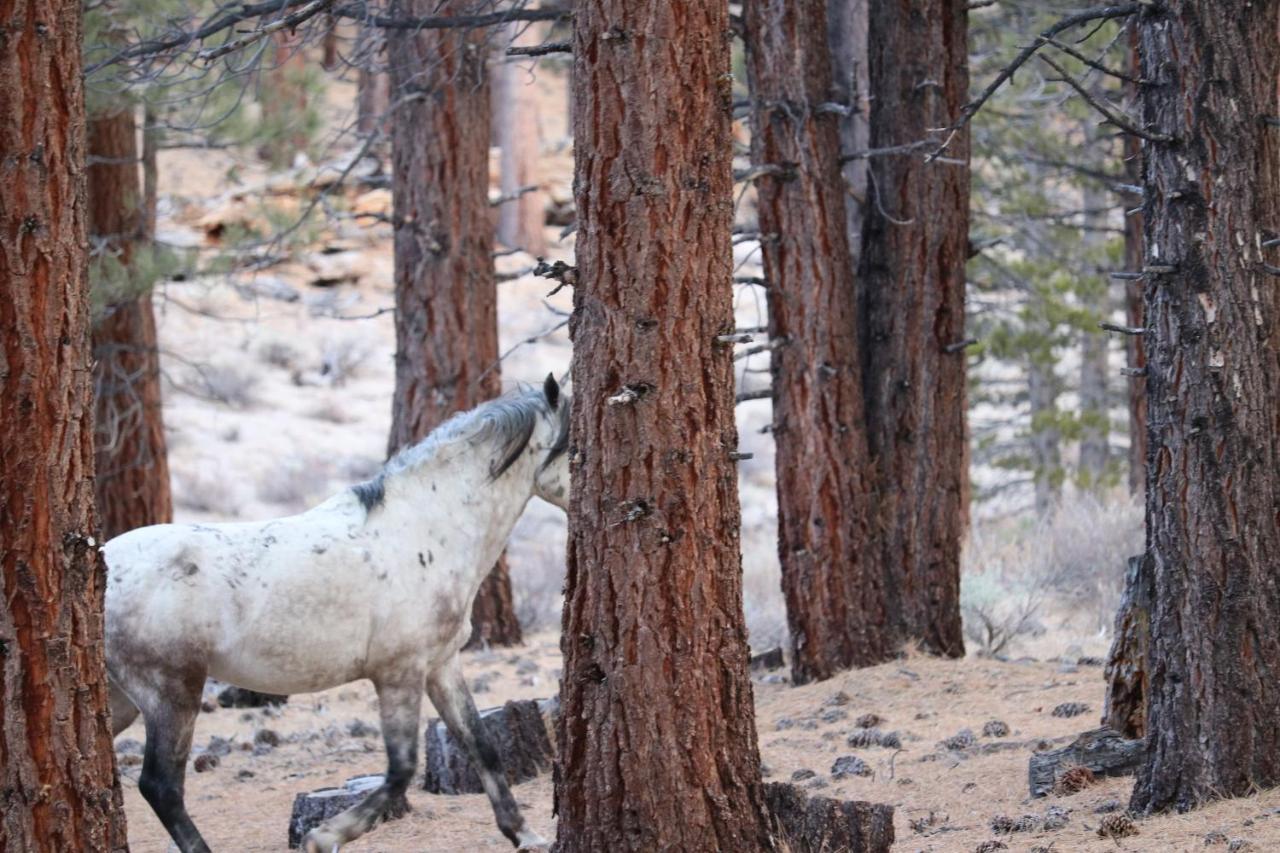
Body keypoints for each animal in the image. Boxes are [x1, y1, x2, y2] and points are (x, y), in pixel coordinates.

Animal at [107, 376, 568, 845]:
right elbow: (401, 769)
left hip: (124, 698)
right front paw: (323, 837)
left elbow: (481, 746)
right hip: (172, 694)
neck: (423, 529)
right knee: (162, 787)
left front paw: (525, 836)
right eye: (575, 444)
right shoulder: (399, 673)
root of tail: (102, 562)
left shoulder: (441, 666)